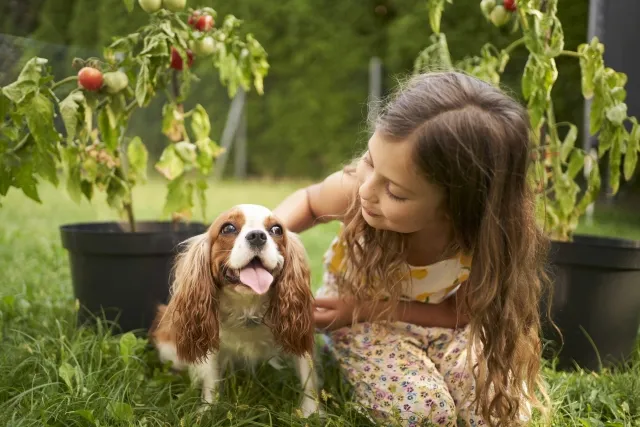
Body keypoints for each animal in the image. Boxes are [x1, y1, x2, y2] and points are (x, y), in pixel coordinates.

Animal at [150, 204, 320, 418]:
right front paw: (208, 410)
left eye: (276, 230)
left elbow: (308, 376)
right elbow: (211, 379)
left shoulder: (299, 333)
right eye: (228, 228)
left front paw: (311, 413)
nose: (257, 236)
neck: (247, 306)